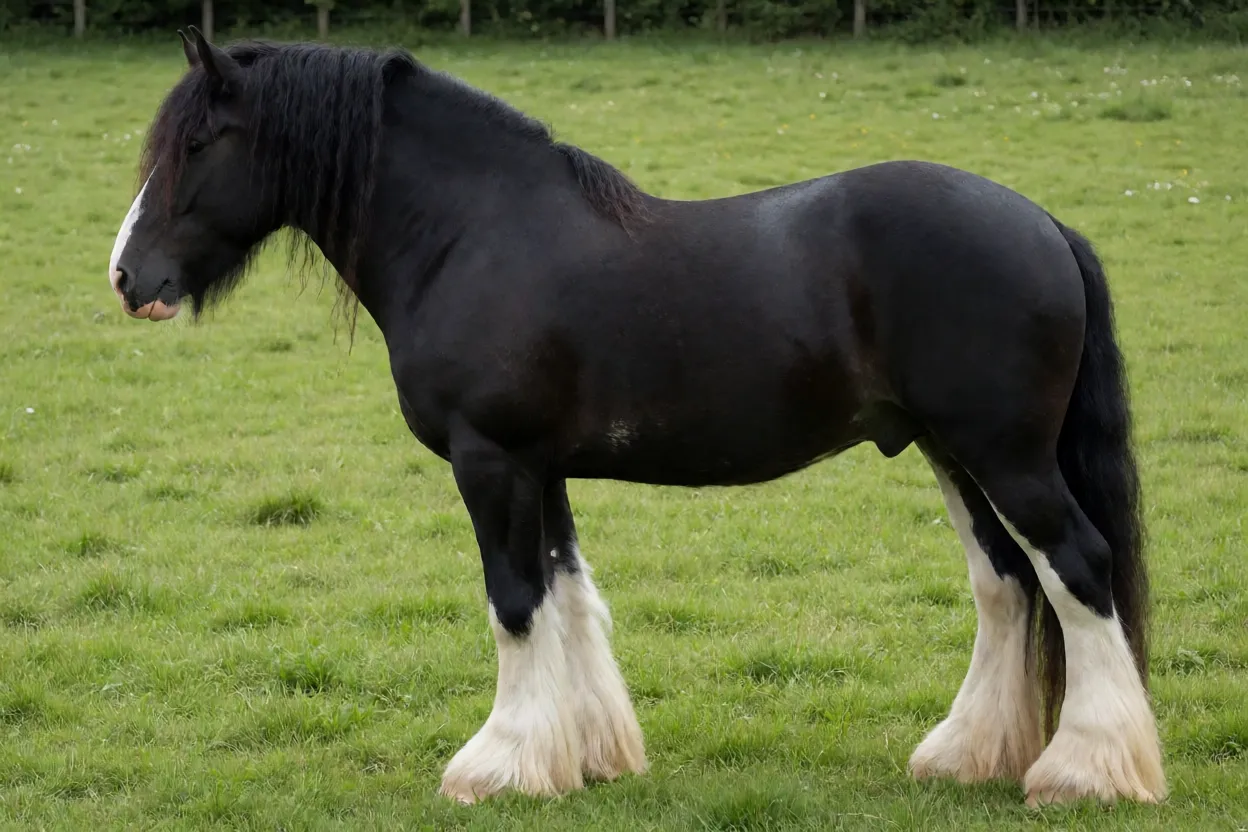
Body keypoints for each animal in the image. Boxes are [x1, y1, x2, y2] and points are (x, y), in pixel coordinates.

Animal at [107, 28, 1166, 807]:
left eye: (197, 145)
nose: (128, 278)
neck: (472, 233)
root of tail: (1043, 223)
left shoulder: (490, 461)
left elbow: (514, 604)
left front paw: (499, 766)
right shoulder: (543, 468)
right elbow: (569, 597)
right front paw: (583, 756)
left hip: (1008, 454)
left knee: (1077, 569)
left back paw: (1086, 772)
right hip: (952, 450)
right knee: (1007, 584)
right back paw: (967, 756)